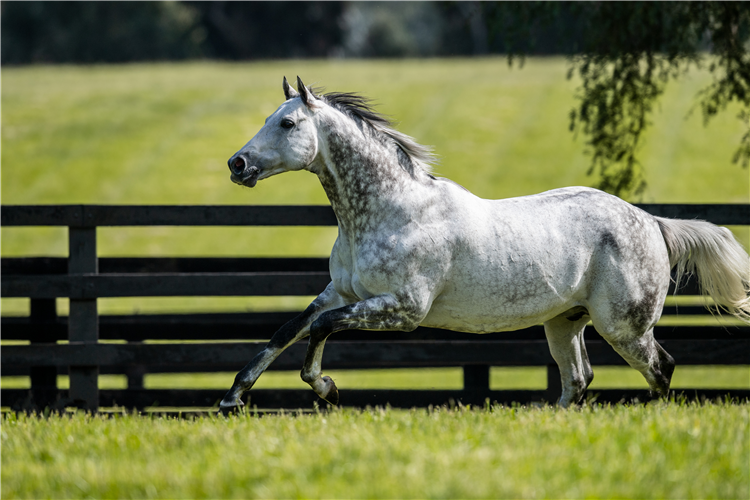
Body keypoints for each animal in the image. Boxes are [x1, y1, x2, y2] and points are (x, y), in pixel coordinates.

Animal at [220, 75, 748, 410]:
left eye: (287, 124)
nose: (236, 164)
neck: (391, 211)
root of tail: (651, 222)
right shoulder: (342, 292)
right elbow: (289, 329)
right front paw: (232, 398)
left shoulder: (403, 308)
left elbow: (321, 327)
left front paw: (326, 388)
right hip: (564, 323)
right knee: (577, 381)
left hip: (624, 327)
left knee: (661, 369)